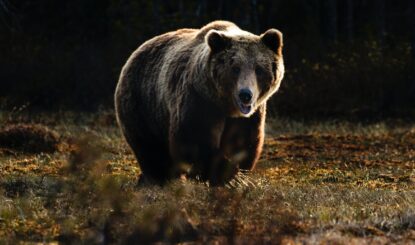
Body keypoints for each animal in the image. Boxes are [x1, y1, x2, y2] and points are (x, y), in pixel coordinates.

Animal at [115, 20, 284, 186]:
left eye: (259, 69)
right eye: (235, 68)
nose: (245, 95)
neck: (225, 105)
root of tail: (135, 52)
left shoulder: (249, 116)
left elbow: (243, 142)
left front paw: (237, 174)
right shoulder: (199, 100)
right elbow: (194, 140)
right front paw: (227, 175)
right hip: (143, 104)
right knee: (150, 148)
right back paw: (159, 178)